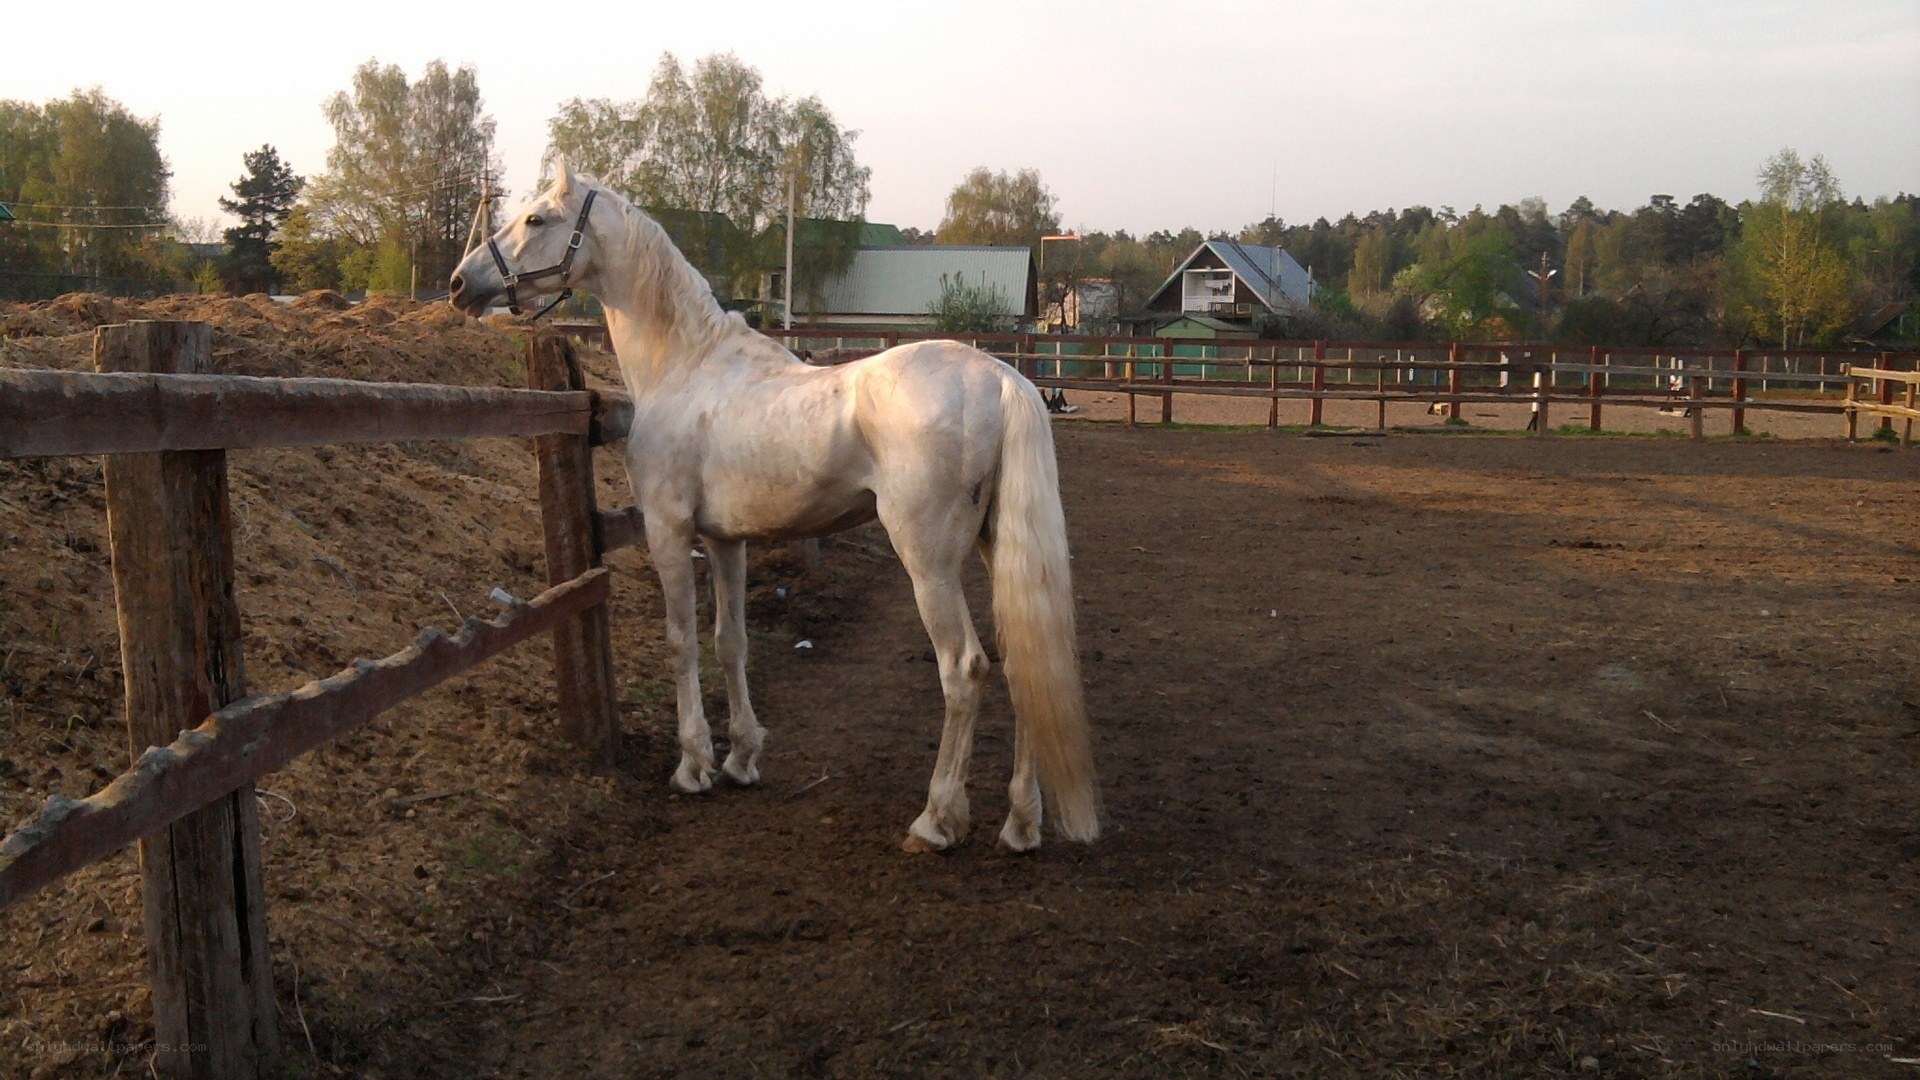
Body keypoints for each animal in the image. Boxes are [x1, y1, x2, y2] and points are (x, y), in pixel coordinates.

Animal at [448, 160, 1099, 853]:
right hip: (996, 549)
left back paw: (936, 818)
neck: (686, 366)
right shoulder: (725, 540)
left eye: (536, 219)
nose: (462, 283)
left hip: (929, 564)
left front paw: (693, 765)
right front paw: (741, 757)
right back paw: (1021, 823)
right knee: (1024, 668)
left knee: (966, 670)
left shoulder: (668, 532)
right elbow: (730, 642)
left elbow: (681, 641)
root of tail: (1002, 379)